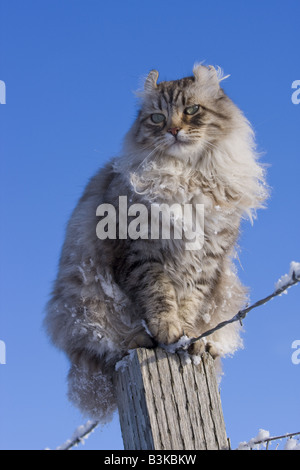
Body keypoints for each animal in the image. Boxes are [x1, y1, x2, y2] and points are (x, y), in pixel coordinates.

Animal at [44, 63, 268, 422]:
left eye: (191, 110)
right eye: (157, 118)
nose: (174, 130)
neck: (187, 176)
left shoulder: (206, 262)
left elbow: (189, 304)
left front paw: (186, 336)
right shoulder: (140, 254)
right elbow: (158, 295)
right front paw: (167, 330)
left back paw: (202, 345)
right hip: (85, 304)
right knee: (107, 346)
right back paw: (140, 341)